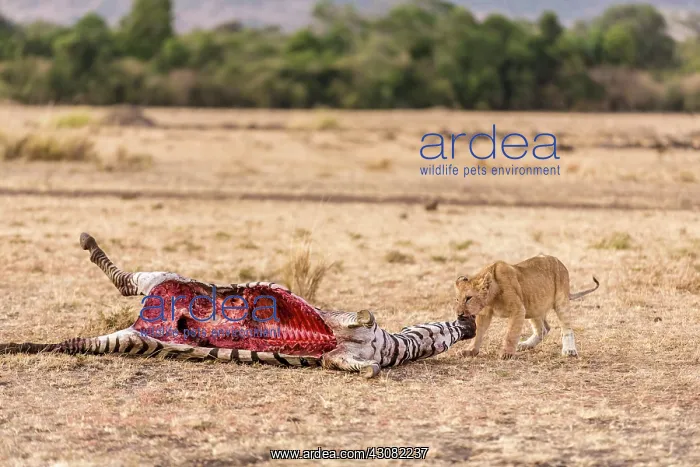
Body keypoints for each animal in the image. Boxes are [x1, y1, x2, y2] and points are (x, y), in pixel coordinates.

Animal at [454, 254, 599, 359]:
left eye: (468, 298)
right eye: (457, 299)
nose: (459, 314)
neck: (491, 300)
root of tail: (561, 263)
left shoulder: (518, 310)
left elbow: (511, 333)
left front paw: (506, 354)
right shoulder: (484, 314)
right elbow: (478, 334)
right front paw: (470, 351)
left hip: (560, 301)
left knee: (567, 328)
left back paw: (569, 351)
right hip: (532, 306)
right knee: (543, 329)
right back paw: (524, 345)